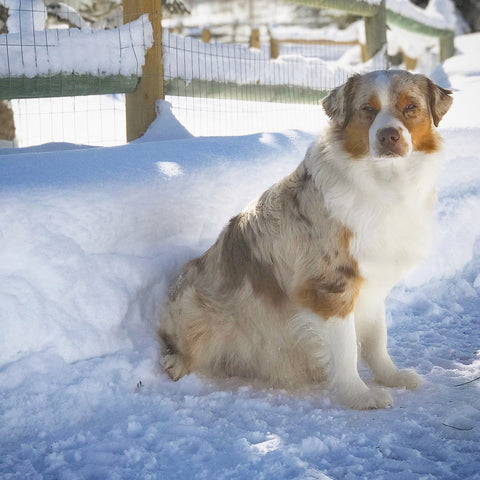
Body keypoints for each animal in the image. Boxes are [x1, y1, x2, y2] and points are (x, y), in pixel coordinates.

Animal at [158, 70, 454, 408]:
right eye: (367, 109)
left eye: (410, 107)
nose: (388, 136)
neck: (385, 182)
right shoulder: (329, 284)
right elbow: (346, 349)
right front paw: (358, 395)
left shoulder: (372, 281)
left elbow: (377, 338)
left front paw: (391, 376)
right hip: (194, 302)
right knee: (176, 343)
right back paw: (176, 363)